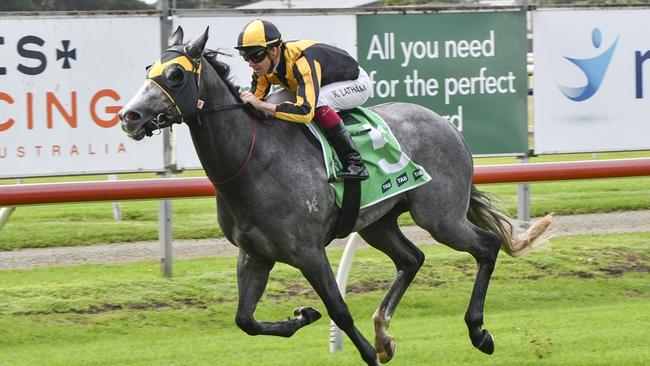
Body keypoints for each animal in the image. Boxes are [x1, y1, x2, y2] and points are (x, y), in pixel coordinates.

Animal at [119, 26, 548, 366]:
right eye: (148, 69)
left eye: (175, 74)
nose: (129, 117)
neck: (254, 160)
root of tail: (447, 125)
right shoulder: (255, 254)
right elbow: (245, 319)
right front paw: (303, 317)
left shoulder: (308, 251)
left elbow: (339, 309)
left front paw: (366, 353)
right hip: (379, 222)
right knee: (412, 259)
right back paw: (384, 334)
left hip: (440, 216)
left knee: (486, 247)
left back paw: (478, 332)